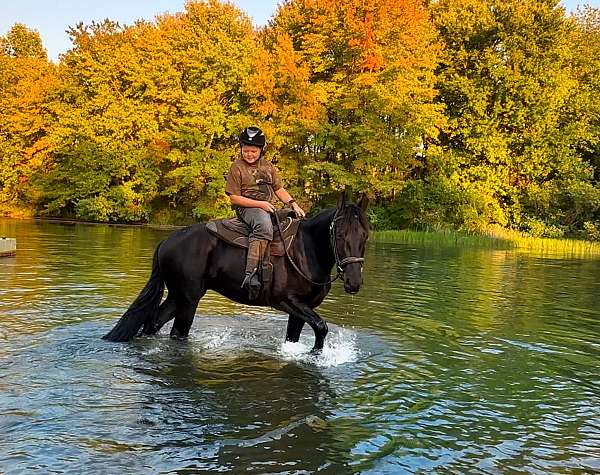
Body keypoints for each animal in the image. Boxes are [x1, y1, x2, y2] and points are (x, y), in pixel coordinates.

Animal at [103, 193, 368, 354]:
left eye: (364, 236)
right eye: (340, 235)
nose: (354, 282)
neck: (307, 249)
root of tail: (167, 241)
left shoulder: (302, 307)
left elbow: (296, 336)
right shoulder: (286, 301)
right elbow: (322, 327)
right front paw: (316, 353)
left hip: (178, 296)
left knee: (153, 322)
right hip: (188, 300)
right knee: (177, 333)